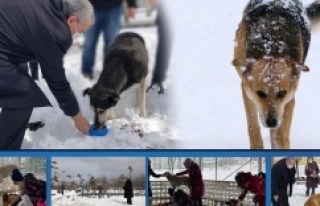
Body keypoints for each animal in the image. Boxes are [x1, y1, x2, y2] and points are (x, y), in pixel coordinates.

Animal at [231, 0, 320, 148]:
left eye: (281, 93)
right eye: (260, 93)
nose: (271, 122)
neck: (272, 46)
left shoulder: (289, 99)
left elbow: (281, 135)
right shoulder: (246, 90)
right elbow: (253, 126)